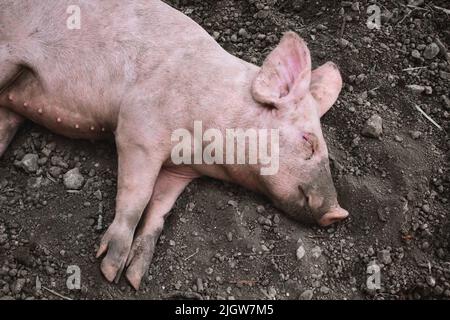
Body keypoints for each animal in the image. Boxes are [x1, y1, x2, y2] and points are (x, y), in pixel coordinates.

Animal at [0, 0, 350, 290]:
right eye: (308, 140)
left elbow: (160, 209)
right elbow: (137, 196)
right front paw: (110, 270)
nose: (338, 213)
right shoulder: (138, 126)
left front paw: (135, 277)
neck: (206, 152)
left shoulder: (179, 171)